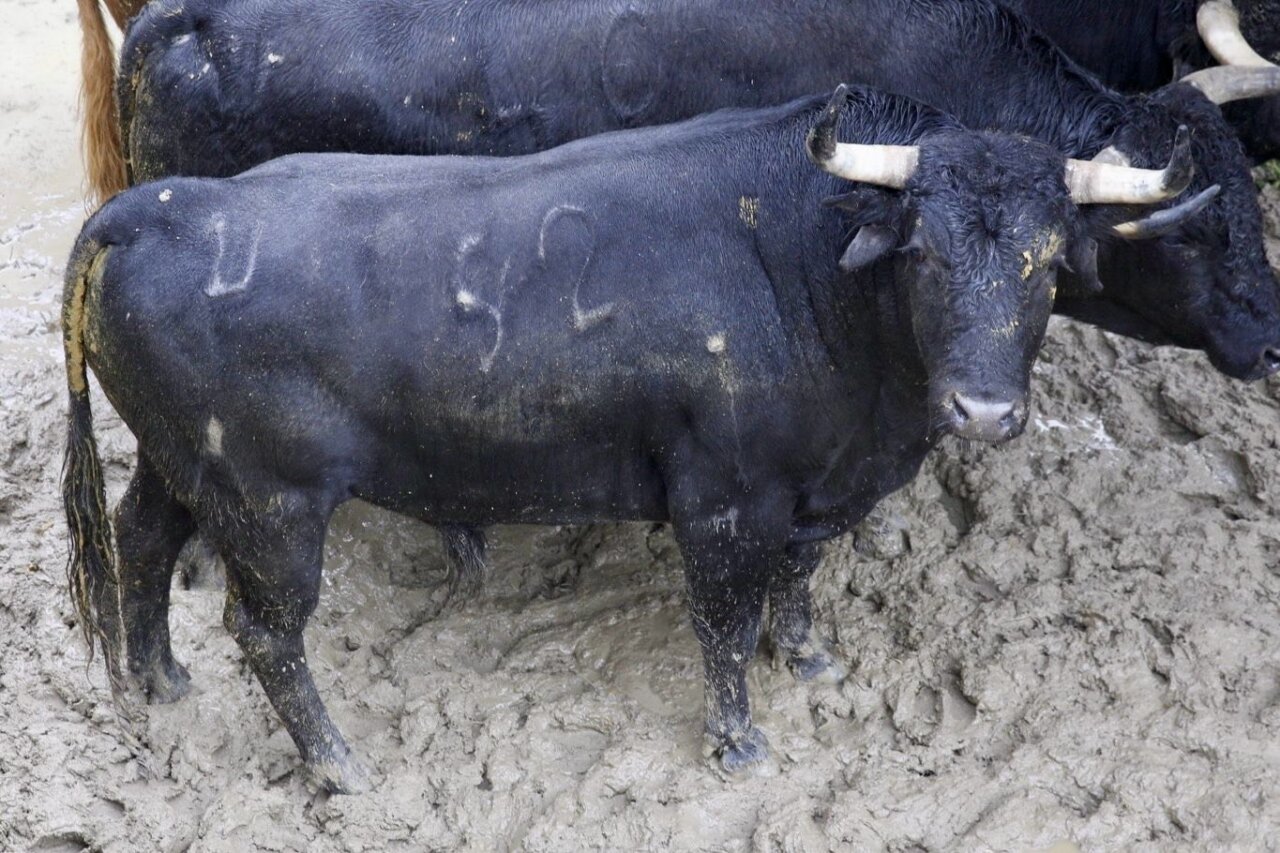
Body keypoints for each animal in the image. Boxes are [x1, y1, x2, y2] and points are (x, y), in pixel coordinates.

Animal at [61, 87, 1190, 791]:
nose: (983, 414)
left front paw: (811, 661)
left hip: (180, 464)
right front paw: (738, 744)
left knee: (142, 540)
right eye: (921, 249)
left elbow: (798, 579)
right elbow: (724, 621)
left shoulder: (813, 487)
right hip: (270, 505)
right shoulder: (724, 498)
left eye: (1050, 260)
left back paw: (159, 683)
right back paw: (339, 766)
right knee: (265, 632)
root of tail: (151, 208)